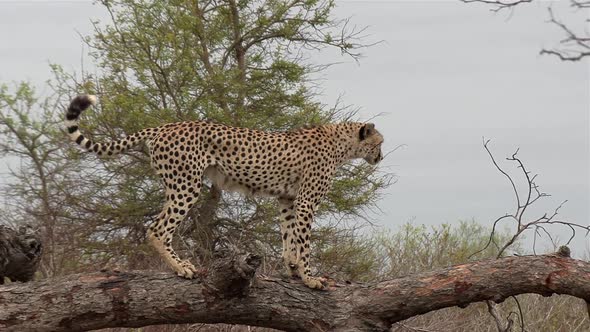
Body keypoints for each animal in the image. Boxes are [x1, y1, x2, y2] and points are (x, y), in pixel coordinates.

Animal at [66, 94, 388, 290]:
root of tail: (165, 125)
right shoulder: (306, 201)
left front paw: (294, 271)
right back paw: (182, 267)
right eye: (380, 142)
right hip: (186, 185)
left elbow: (289, 238)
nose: (381, 157)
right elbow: (304, 243)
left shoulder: (287, 199)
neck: (342, 144)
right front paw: (310, 278)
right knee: (157, 229)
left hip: (176, 184)